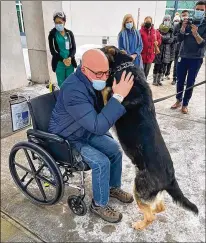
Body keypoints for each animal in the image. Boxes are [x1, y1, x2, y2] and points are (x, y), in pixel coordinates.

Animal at [100, 45, 199, 230]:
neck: (124, 66)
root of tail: (171, 179)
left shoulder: (109, 102)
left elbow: (105, 91)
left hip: (139, 187)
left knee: (151, 214)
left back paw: (139, 225)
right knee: (159, 207)